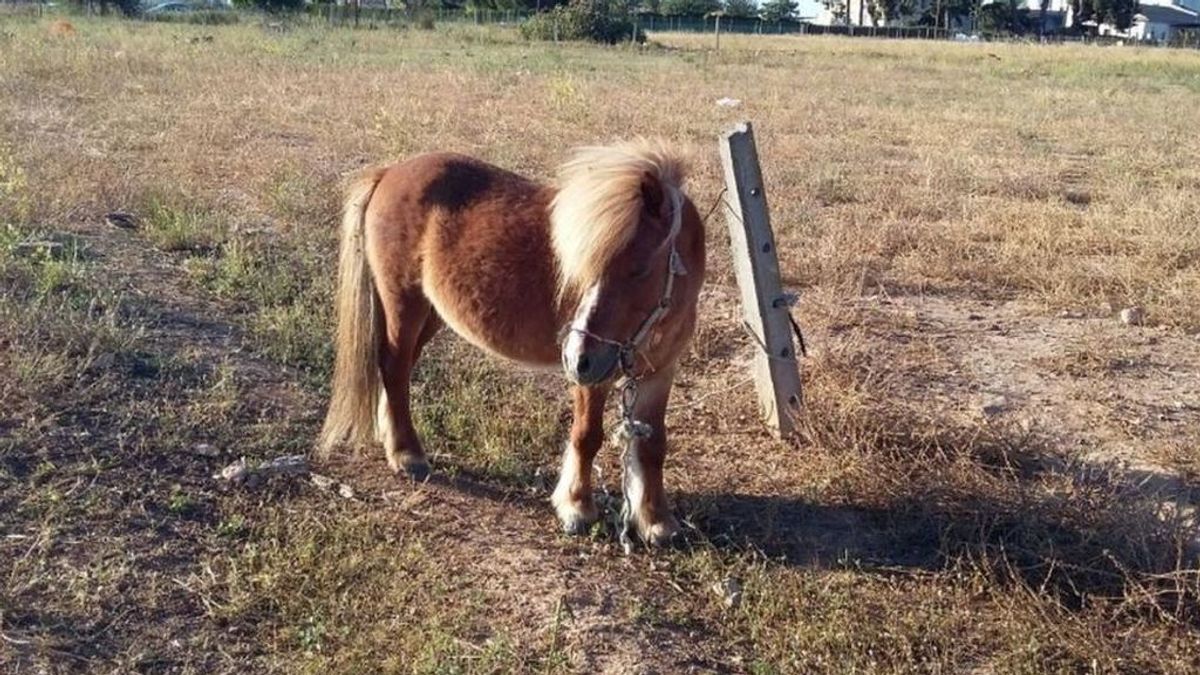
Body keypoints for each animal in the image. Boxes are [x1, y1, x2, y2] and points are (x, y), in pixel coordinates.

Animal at [319, 139, 705, 542]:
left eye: (640, 269)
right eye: (581, 270)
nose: (575, 357)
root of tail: (389, 172)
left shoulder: (658, 373)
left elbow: (653, 445)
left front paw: (657, 521)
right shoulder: (594, 378)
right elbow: (587, 436)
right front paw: (577, 508)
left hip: (432, 312)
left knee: (400, 371)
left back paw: (392, 436)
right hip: (404, 304)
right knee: (393, 367)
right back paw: (407, 454)